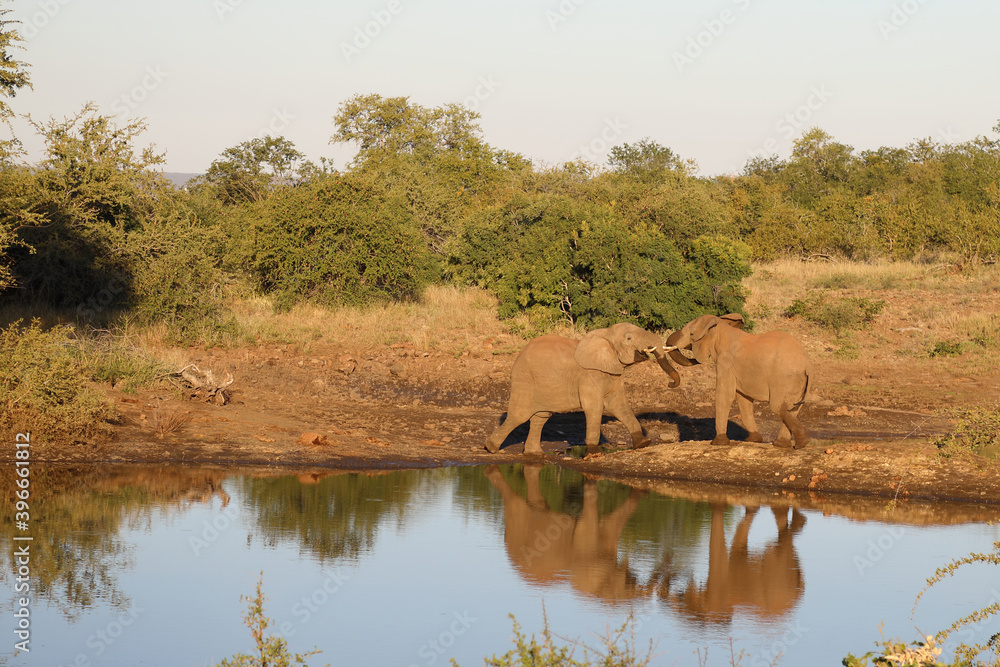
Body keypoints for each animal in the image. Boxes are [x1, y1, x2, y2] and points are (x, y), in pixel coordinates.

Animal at [486, 323, 680, 455]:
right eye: (629, 338)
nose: (671, 384)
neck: (606, 334)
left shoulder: (612, 373)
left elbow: (619, 405)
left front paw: (642, 444)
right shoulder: (589, 374)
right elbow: (594, 407)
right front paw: (594, 452)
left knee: (541, 416)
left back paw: (535, 453)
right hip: (524, 378)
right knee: (519, 415)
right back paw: (490, 448)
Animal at [665, 313, 811, 449]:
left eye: (691, 333)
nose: (670, 384)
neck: (721, 329)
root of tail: (807, 364)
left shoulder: (726, 363)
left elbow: (725, 394)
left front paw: (718, 443)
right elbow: (743, 399)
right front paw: (753, 440)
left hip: (784, 378)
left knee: (778, 407)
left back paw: (801, 443)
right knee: (793, 407)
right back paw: (784, 444)